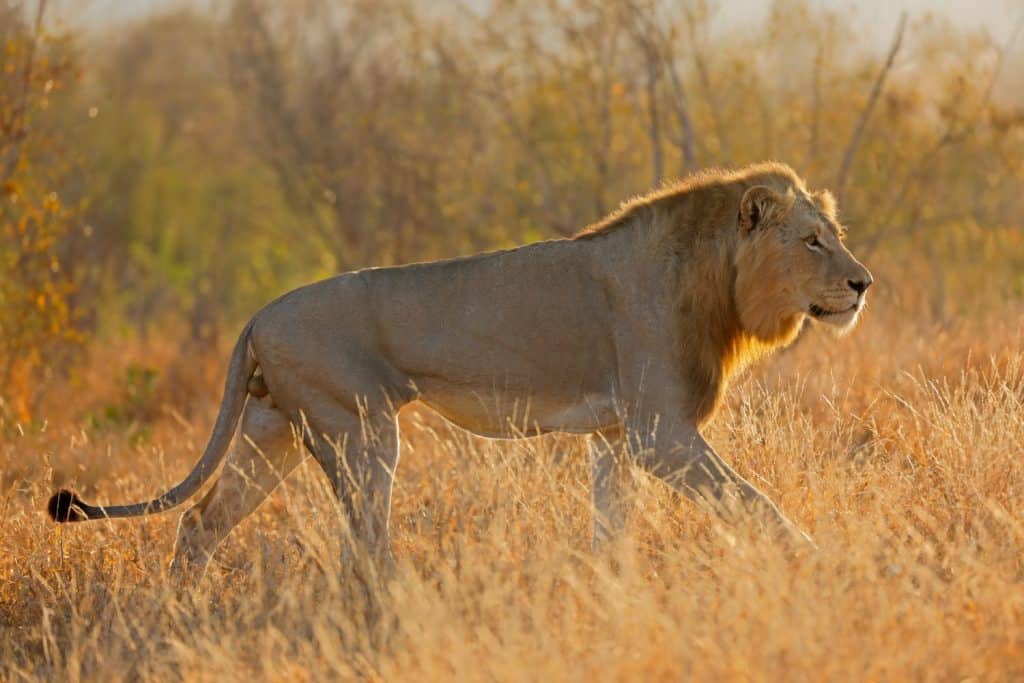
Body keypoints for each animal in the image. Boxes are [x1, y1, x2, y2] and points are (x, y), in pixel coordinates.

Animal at [48, 161, 872, 576]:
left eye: (834, 235)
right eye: (812, 241)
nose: (863, 283)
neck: (715, 281)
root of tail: (255, 317)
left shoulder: (615, 436)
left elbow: (613, 528)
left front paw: (611, 592)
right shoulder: (659, 433)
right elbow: (753, 503)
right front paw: (815, 562)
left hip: (273, 428)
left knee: (199, 523)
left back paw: (174, 615)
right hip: (360, 431)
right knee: (363, 541)